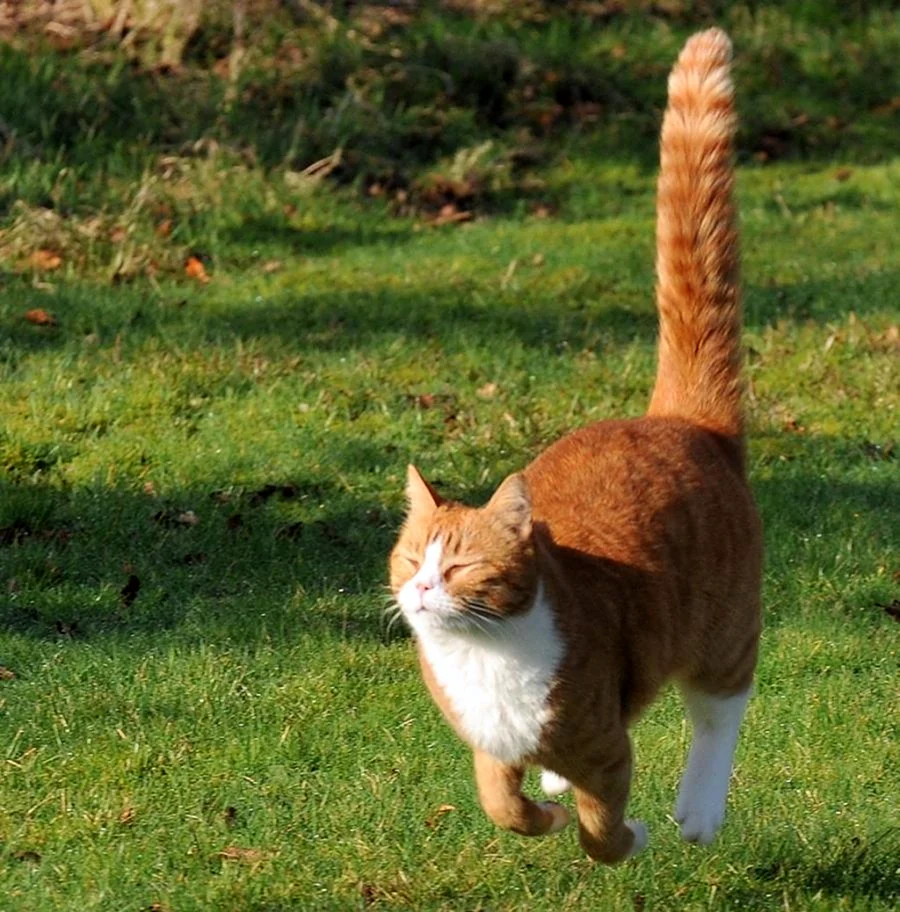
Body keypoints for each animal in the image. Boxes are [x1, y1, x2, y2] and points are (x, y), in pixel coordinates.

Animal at [386, 28, 760, 864]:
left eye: (459, 566)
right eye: (412, 555)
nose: (420, 589)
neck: (485, 657)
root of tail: (678, 420)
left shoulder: (605, 747)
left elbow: (602, 831)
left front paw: (627, 833)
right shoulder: (490, 748)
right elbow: (502, 803)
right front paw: (540, 812)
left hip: (722, 628)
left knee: (720, 709)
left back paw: (698, 809)